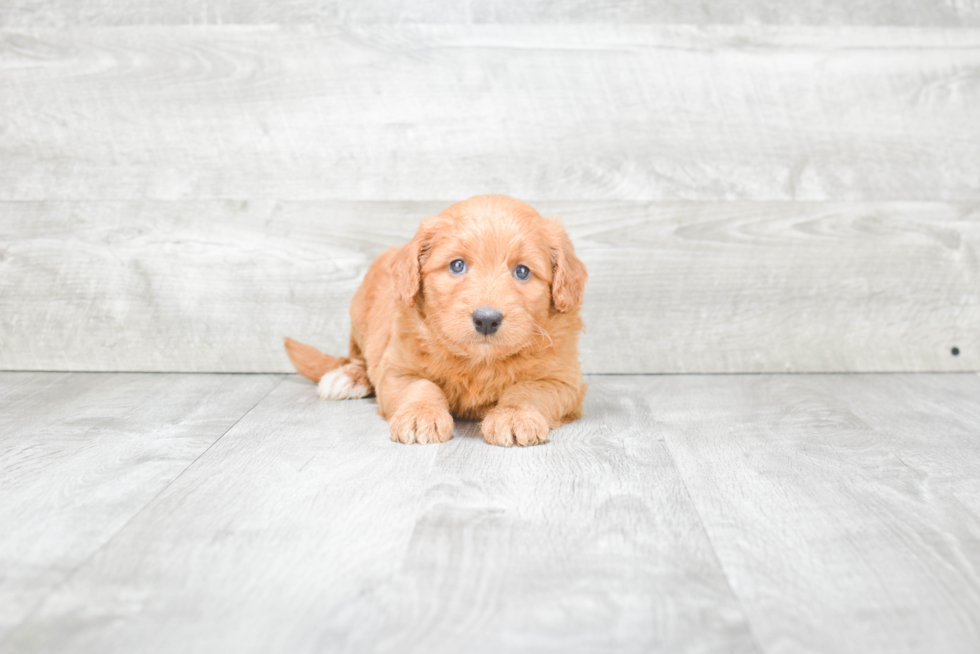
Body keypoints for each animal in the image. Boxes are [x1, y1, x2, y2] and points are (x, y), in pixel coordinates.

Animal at [286, 193, 588, 446]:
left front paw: (515, 415)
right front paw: (421, 414)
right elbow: (421, 386)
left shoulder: (562, 380)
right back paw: (348, 376)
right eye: (457, 265)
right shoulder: (396, 370)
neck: (479, 363)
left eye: (523, 271)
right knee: (357, 357)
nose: (486, 320)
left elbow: (529, 390)